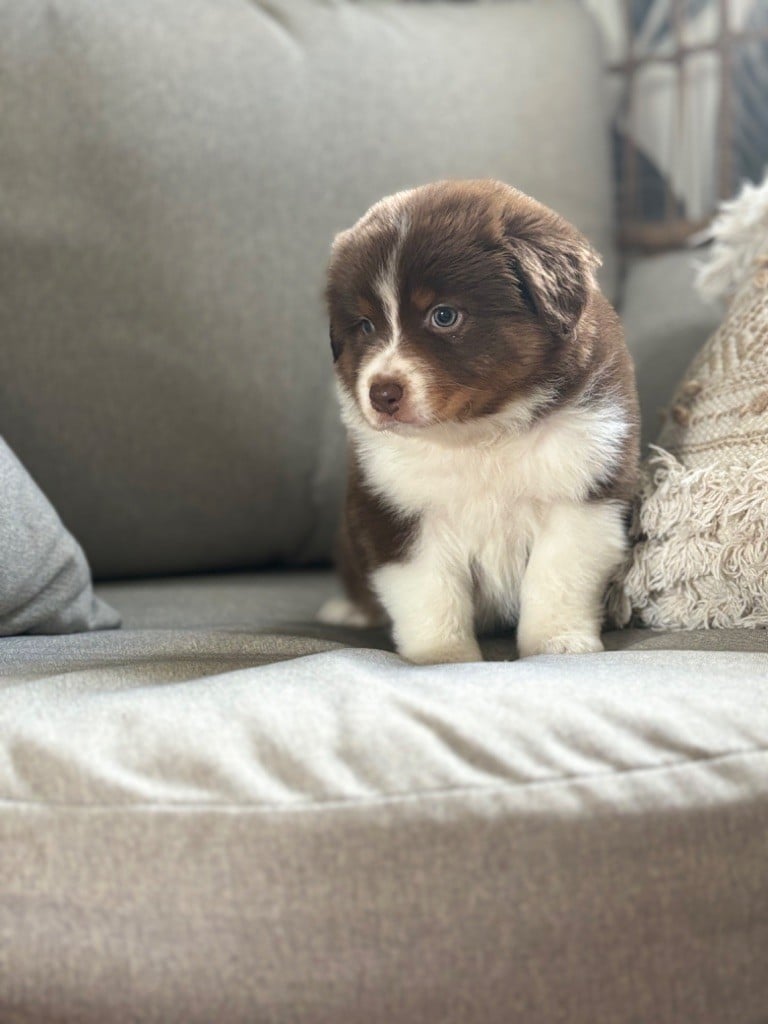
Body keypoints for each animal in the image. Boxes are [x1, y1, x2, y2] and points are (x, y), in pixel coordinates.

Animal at [319, 180, 639, 663]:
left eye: (444, 315)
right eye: (365, 326)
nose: (382, 394)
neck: (478, 436)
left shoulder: (583, 493)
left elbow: (557, 575)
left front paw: (558, 643)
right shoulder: (396, 510)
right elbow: (430, 593)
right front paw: (441, 657)